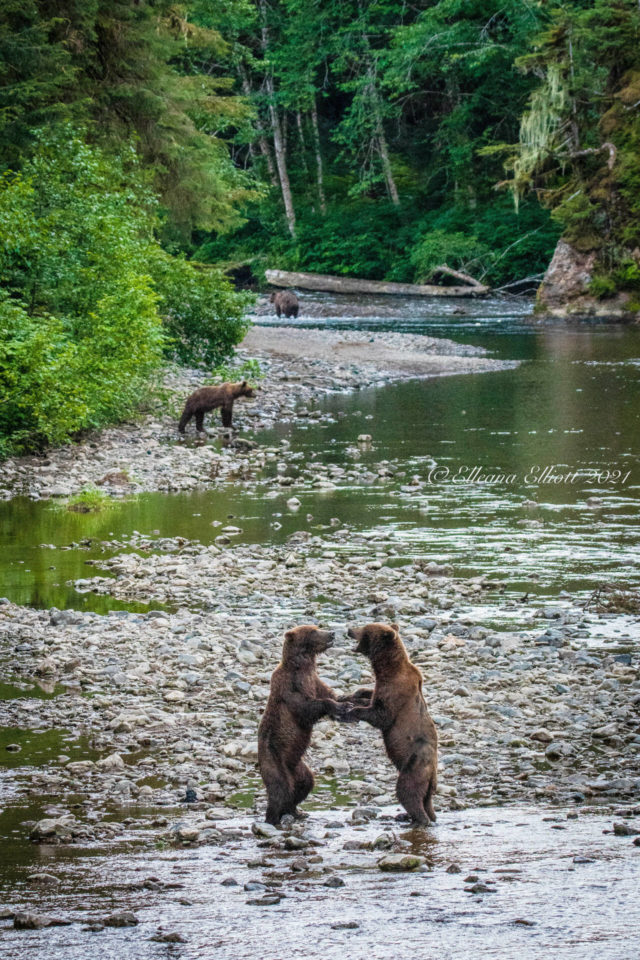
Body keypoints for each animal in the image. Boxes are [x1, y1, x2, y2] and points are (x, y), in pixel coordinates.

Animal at [257, 625, 361, 825]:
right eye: (312, 631)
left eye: (317, 626)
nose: (331, 633)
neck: (303, 666)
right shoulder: (290, 685)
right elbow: (306, 707)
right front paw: (339, 706)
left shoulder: (314, 680)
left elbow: (334, 694)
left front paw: (351, 702)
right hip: (274, 759)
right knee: (280, 789)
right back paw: (273, 819)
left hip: (297, 766)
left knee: (305, 783)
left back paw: (296, 811)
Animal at [344, 622, 438, 825]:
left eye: (364, 628)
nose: (349, 629)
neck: (388, 668)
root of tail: (433, 772)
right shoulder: (381, 685)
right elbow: (369, 695)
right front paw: (351, 695)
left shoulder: (396, 689)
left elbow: (382, 715)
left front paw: (352, 709)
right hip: (426, 780)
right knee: (426, 800)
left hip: (415, 764)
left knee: (407, 791)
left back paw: (417, 818)